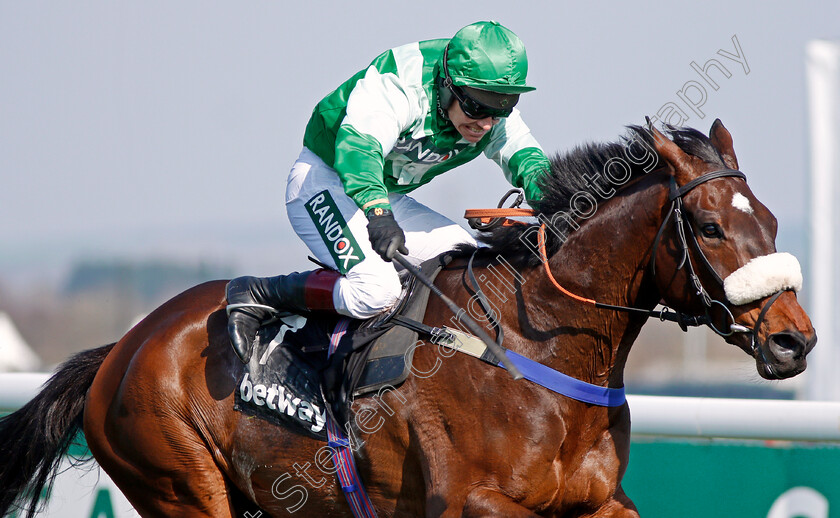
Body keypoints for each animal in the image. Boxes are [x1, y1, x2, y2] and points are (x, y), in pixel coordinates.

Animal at [0, 120, 812, 516]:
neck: (533, 348)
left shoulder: (598, 502)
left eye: (771, 219)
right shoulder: (471, 501)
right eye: (709, 226)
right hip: (181, 485)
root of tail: (119, 349)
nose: (793, 338)